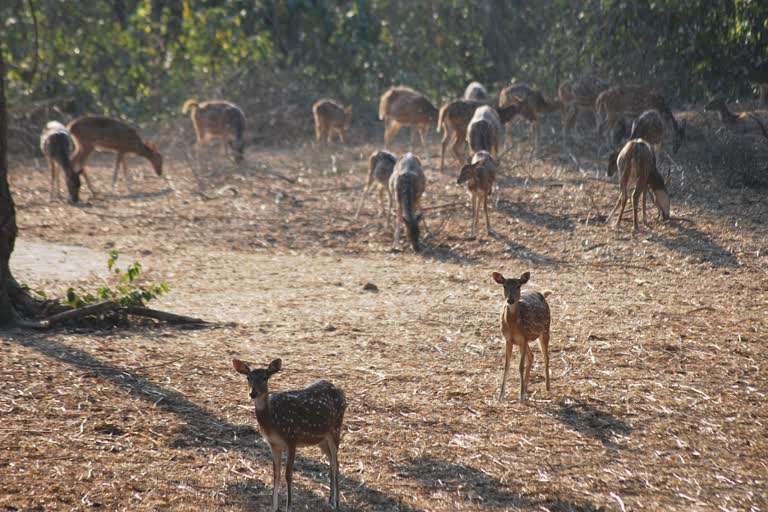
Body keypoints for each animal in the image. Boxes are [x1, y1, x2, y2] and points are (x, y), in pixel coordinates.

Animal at [231, 358, 344, 512]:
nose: (252, 393)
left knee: (335, 463)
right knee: (332, 462)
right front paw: (274, 507)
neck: (272, 421)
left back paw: (336, 503)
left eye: (265, 377)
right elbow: (276, 475)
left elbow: (288, 475)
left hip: (336, 428)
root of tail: (341, 392)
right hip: (322, 439)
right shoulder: (273, 444)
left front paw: (288, 507)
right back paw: (330, 500)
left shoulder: (292, 439)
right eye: (248, 377)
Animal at [492, 270, 552, 402]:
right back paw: (525, 388)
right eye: (504, 286)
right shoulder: (509, 340)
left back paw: (547, 387)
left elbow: (520, 366)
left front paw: (521, 396)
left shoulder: (523, 338)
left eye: (518, 286)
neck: (513, 326)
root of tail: (542, 294)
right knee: (532, 356)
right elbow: (506, 365)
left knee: (546, 357)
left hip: (545, 329)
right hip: (525, 340)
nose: (510, 300)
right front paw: (501, 395)